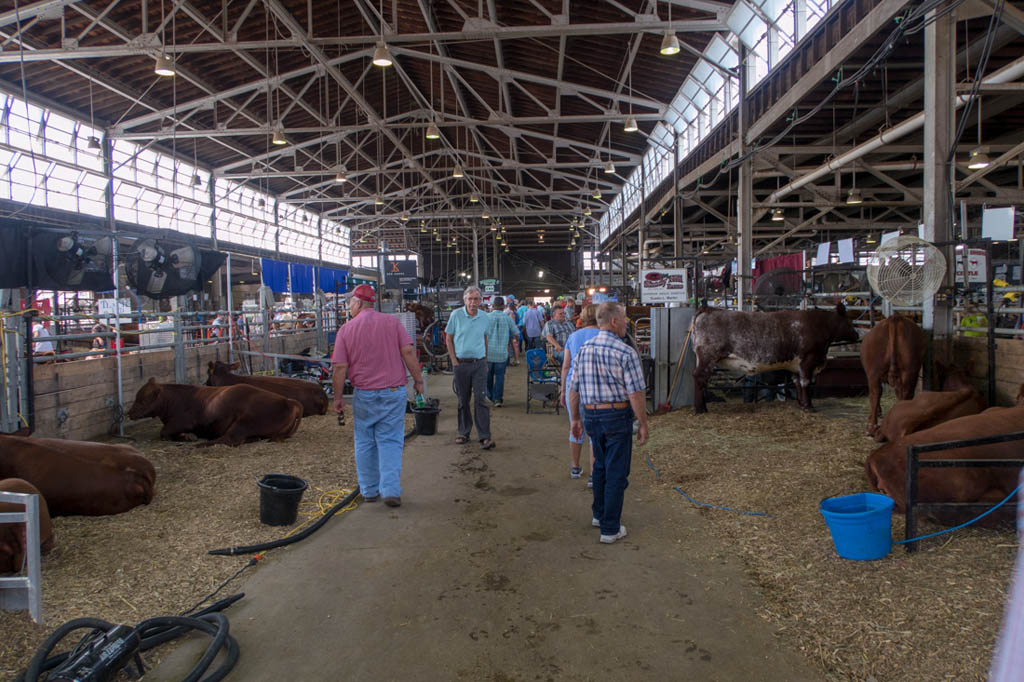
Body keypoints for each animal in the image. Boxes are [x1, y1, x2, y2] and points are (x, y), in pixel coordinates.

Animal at [126, 374, 299, 444]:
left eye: (142, 399)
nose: (129, 413)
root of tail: (288, 401)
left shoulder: (184, 421)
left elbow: (164, 432)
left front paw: (188, 437)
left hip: (245, 421)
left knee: (230, 439)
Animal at [692, 303, 860, 411]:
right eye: (849, 322)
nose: (857, 335)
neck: (820, 324)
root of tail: (708, 309)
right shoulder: (808, 359)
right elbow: (805, 383)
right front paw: (809, 406)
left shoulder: (795, 364)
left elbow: (797, 383)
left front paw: (801, 404)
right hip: (707, 356)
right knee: (699, 377)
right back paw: (701, 409)